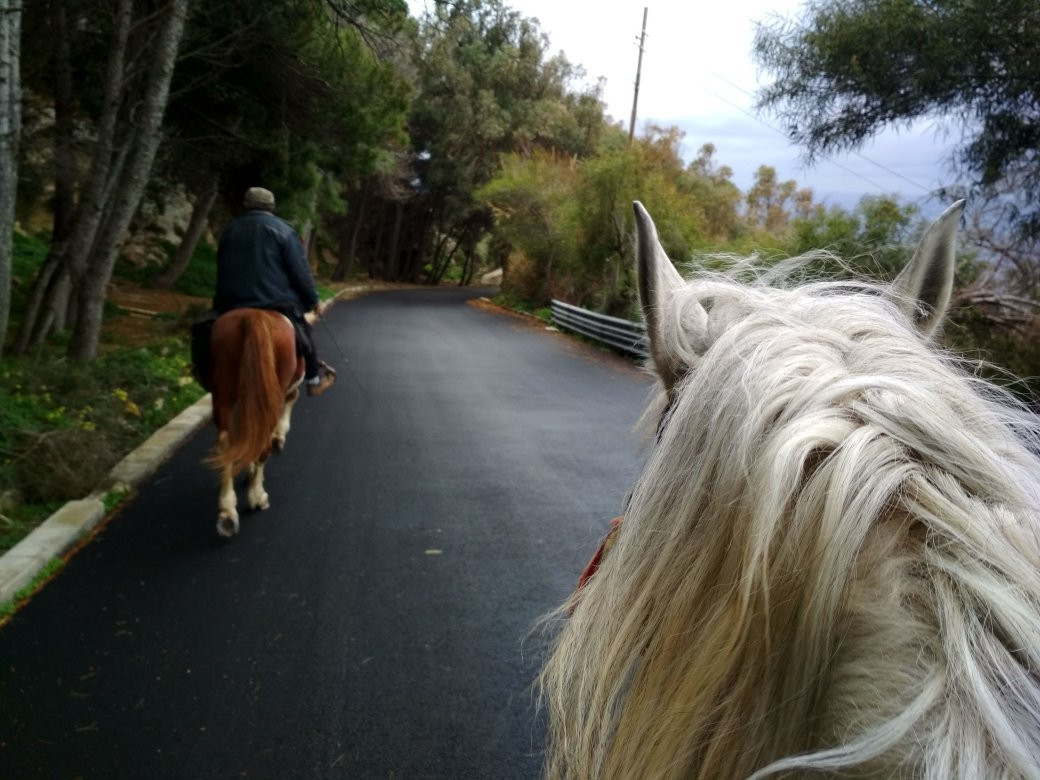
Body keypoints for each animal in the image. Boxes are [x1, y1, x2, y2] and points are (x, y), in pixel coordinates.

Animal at [208, 308, 305, 538]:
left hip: (224, 394)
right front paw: (278, 440)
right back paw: (257, 497)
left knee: (227, 442)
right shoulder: (290, 388)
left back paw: (227, 512)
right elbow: (292, 401)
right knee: (263, 444)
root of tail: (250, 316)